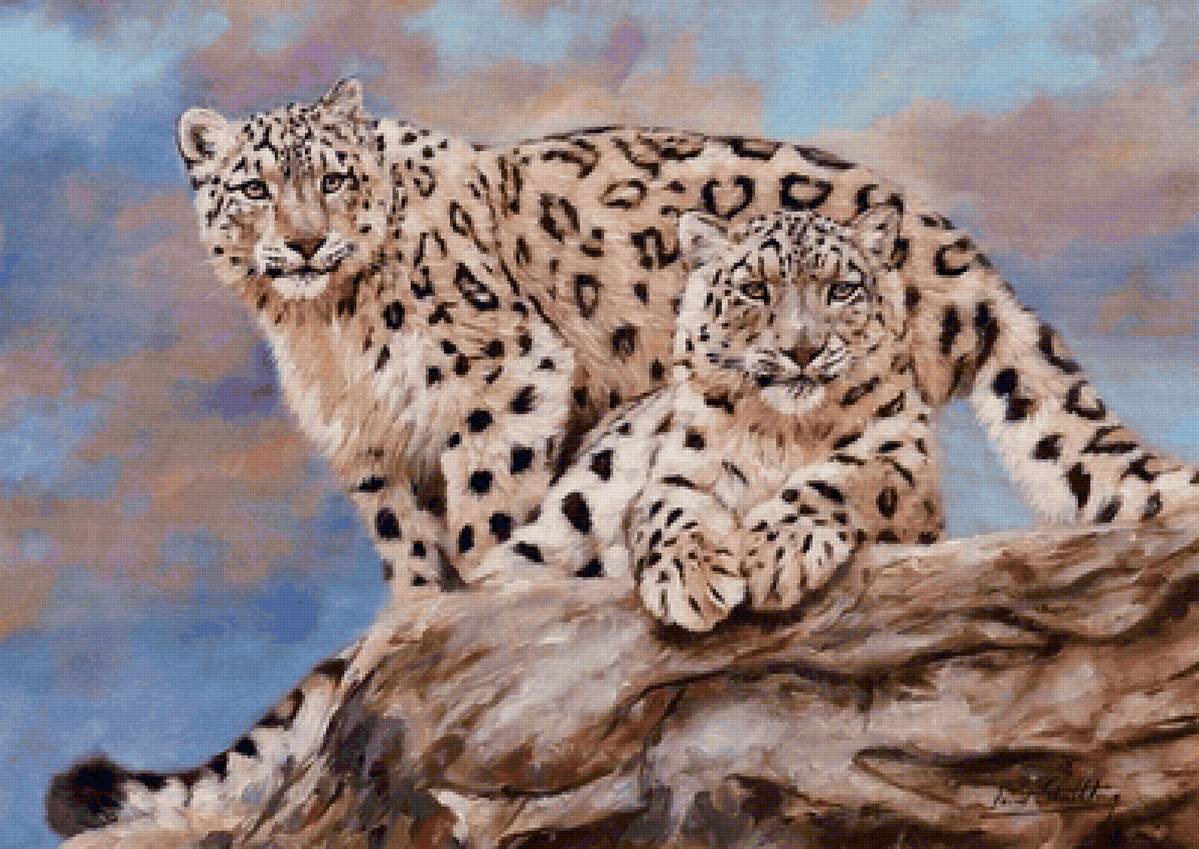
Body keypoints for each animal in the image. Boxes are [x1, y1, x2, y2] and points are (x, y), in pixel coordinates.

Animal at [47, 78, 1199, 837]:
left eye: (334, 178)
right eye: (253, 188)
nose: (299, 242)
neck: (325, 330)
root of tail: (950, 242)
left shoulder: (498, 377)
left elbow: (488, 511)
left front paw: (489, 610)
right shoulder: (370, 455)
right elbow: (413, 556)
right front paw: (405, 640)